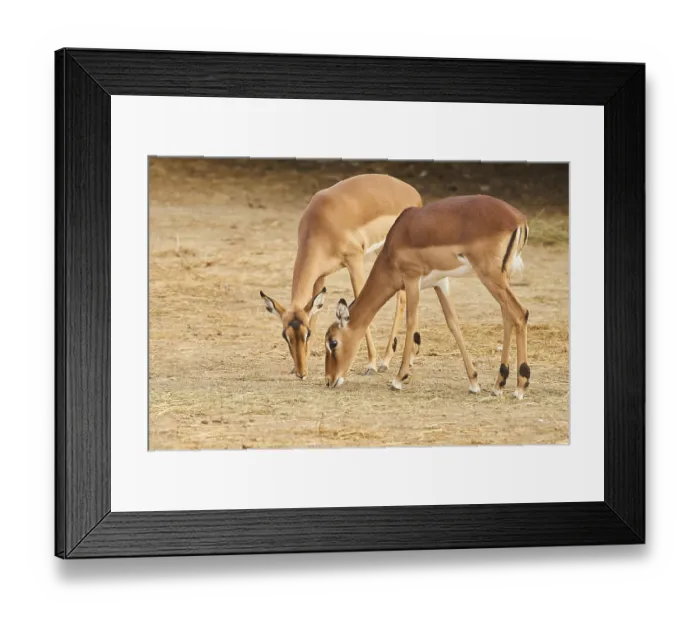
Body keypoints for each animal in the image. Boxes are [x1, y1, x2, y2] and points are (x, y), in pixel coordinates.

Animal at [260, 173, 423, 379]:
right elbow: (316, 312)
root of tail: (412, 191)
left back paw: (385, 362)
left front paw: (371, 364)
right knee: (404, 297)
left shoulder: (354, 260)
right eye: (285, 335)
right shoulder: (320, 276)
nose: (301, 373)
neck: (321, 222)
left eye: (307, 334)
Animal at [323, 195, 532, 399]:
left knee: (520, 313)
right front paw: (473, 382)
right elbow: (453, 323)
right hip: (502, 279)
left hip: (490, 276)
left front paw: (398, 379)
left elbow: (410, 322)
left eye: (333, 342)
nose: (329, 380)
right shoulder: (440, 282)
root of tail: (518, 219)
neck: (394, 244)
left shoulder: (412, 280)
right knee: (508, 316)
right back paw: (499, 384)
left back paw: (520, 386)